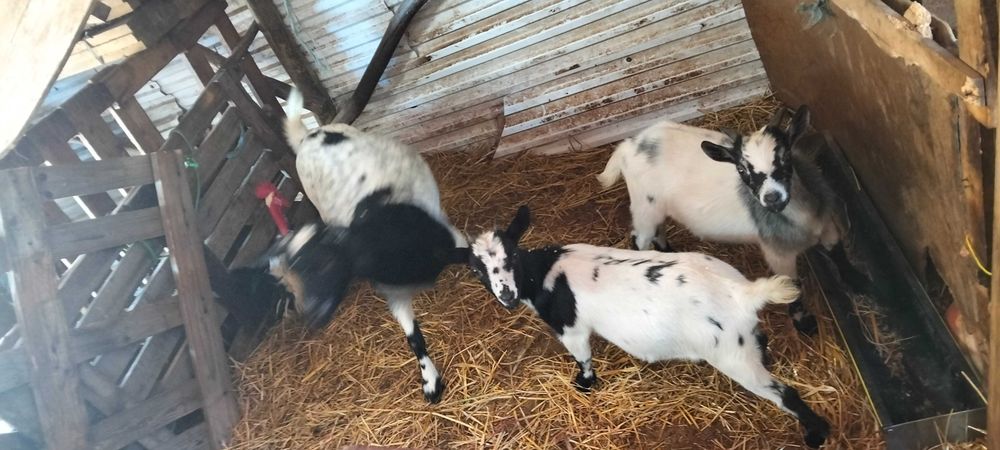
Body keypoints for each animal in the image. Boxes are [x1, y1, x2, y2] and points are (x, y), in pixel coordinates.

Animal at [277, 87, 469, 403]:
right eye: (293, 273)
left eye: (325, 263)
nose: (311, 316)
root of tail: (309, 135)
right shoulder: (392, 289)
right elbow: (413, 338)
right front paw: (430, 380)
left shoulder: (451, 238)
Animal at [467, 206, 831, 448]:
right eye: (476, 269)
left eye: (512, 256)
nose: (507, 295)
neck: (544, 271)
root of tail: (741, 292)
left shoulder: (571, 327)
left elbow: (583, 357)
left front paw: (584, 385)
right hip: (741, 339)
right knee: (760, 339)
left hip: (732, 355)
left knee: (785, 393)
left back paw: (817, 433)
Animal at [597, 106, 841, 335]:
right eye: (742, 169)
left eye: (786, 156)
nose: (772, 198)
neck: (806, 218)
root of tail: (629, 145)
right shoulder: (778, 253)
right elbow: (795, 289)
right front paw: (805, 324)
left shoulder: (828, 227)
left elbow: (837, 254)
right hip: (644, 205)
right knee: (639, 238)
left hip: (657, 206)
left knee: (659, 230)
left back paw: (670, 254)